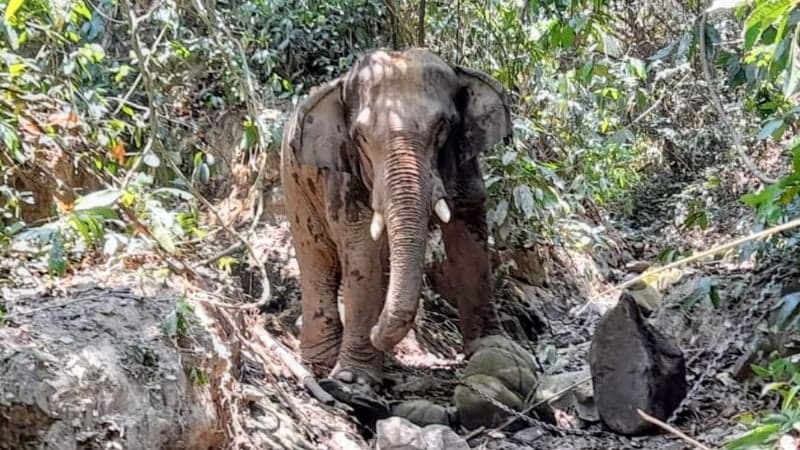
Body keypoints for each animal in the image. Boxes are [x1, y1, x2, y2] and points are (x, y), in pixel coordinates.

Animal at [280, 48, 512, 390]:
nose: (375, 332)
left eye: (444, 127)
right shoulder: (344, 176)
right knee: (317, 260)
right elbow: (361, 250)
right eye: (360, 137)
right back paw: (320, 359)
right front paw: (353, 378)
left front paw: (493, 349)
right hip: (294, 185)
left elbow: (468, 228)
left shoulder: (465, 164)